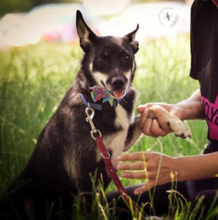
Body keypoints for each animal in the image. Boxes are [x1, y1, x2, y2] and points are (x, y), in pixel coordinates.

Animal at [0, 9, 191, 218]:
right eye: (101, 59)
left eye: (126, 57)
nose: (119, 83)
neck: (102, 102)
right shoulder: (85, 176)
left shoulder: (123, 142)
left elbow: (150, 110)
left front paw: (178, 124)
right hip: (24, 195)